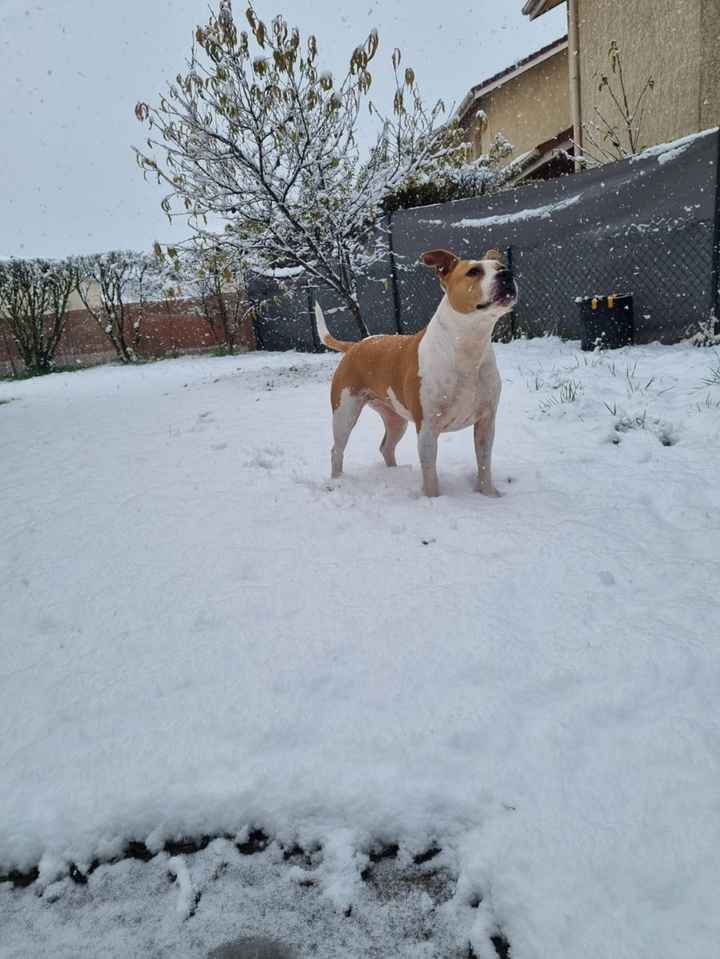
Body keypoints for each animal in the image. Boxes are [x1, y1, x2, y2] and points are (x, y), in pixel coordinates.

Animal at [316, 249, 516, 496]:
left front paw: (489, 495)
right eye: (473, 271)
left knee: (386, 447)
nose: (507, 274)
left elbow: (484, 464)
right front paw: (433, 499)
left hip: (395, 419)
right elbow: (430, 474)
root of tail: (355, 345)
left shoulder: (486, 423)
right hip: (344, 414)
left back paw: (394, 473)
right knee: (337, 450)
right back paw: (337, 481)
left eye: (500, 267)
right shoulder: (428, 427)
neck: (468, 346)